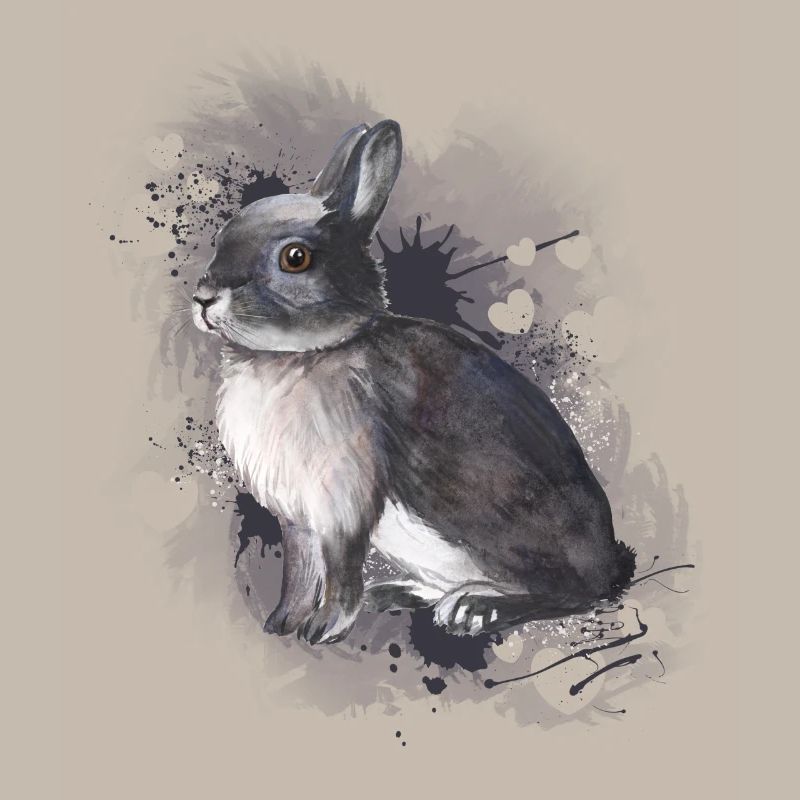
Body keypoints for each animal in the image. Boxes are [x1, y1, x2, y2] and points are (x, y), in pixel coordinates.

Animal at [192, 119, 636, 645]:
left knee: (571, 595)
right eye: (221, 237)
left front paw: (323, 629)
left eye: (295, 258)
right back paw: (399, 593)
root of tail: (610, 563)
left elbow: (339, 570)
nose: (203, 298)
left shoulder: (344, 503)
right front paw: (281, 623)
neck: (301, 355)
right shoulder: (298, 518)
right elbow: (299, 572)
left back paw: (475, 609)